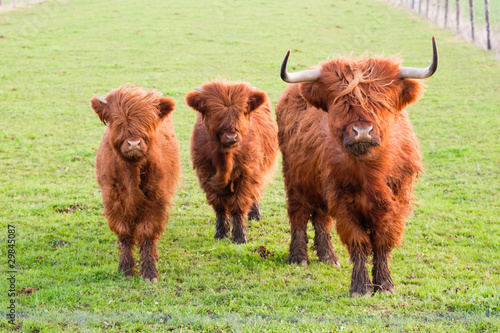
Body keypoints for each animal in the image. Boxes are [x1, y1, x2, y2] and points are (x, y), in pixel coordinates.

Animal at [91, 84, 180, 282]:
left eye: (147, 121)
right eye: (117, 121)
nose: (133, 143)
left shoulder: (156, 200)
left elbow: (147, 233)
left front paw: (149, 271)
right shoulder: (114, 201)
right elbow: (124, 234)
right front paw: (125, 268)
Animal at [188, 79, 280, 243]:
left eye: (242, 111)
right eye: (214, 112)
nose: (231, 137)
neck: (225, 158)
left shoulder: (246, 174)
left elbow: (239, 204)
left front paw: (239, 236)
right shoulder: (206, 175)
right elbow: (219, 205)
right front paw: (221, 232)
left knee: (254, 192)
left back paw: (254, 214)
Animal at [278, 37, 438, 294]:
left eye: (381, 103)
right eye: (341, 102)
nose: (362, 131)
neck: (370, 172)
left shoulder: (396, 203)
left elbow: (383, 242)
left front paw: (384, 284)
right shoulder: (343, 202)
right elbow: (359, 243)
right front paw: (360, 287)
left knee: (321, 218)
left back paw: (328, 256)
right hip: (295, 178)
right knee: (298, 215)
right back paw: (298, 256)